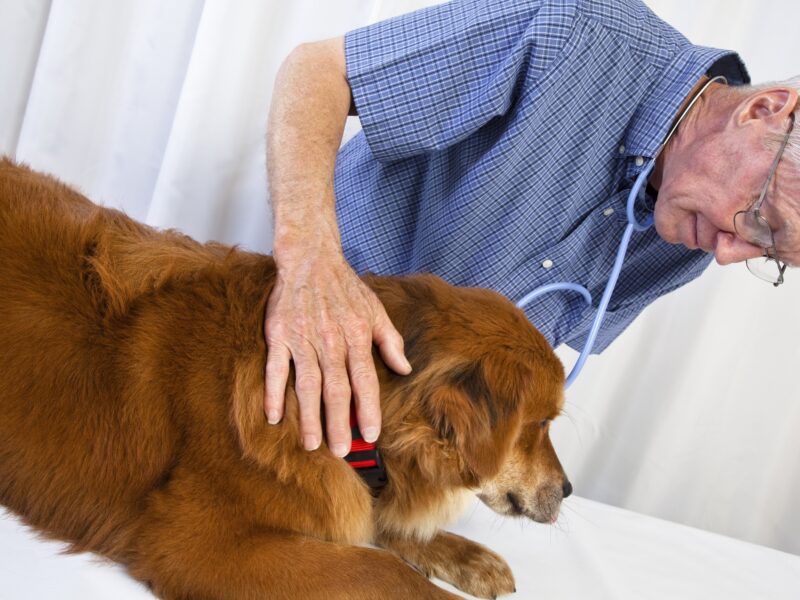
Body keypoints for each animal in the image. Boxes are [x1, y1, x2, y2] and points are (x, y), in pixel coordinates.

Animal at [0, 159, 568, 600]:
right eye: (540, 424)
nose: (566, 489)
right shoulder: (197, 543)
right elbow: (378, 568)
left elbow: (383, 526)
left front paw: (467, 556)